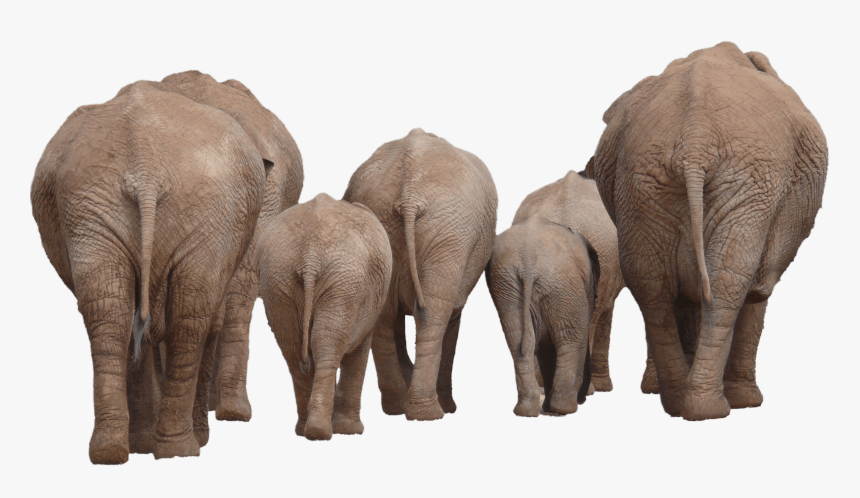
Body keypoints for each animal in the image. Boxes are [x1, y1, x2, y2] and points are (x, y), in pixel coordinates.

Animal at [31, 81, 269, 463]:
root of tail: (145, 167)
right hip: (192, 207)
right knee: (189, 314)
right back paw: (179, 450)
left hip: (93, 207)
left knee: (111, 308)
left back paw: (115, 452)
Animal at [256, 194, 392, 440]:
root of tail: (309, 256)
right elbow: (359, 350)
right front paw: (351, 431)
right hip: (341, 281)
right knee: (325, 345)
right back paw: (320, 431)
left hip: (278, 279)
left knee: (293, 349)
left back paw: (307, 430)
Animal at [343, 128, 498, 421]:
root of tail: (409, 191)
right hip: (450, 234)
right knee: (435, 313)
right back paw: (430, 413)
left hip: (387, 223)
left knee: (385, 314)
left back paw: (397, 408)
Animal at [486, 216, 600, 417]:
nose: (584, 398)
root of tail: (528, 263)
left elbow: (544, 347)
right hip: (561, 282)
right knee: (571, 338)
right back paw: (565, 409)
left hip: (507, 284)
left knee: (518, 341)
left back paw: (527, 411)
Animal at [585, 42, 828, 420]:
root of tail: (694, 140)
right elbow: (756, 289)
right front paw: (747, 402)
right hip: (746, 181)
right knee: (729, 280)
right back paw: (712, 409)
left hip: (642, 183)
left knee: (652, 282)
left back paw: (679, 404)